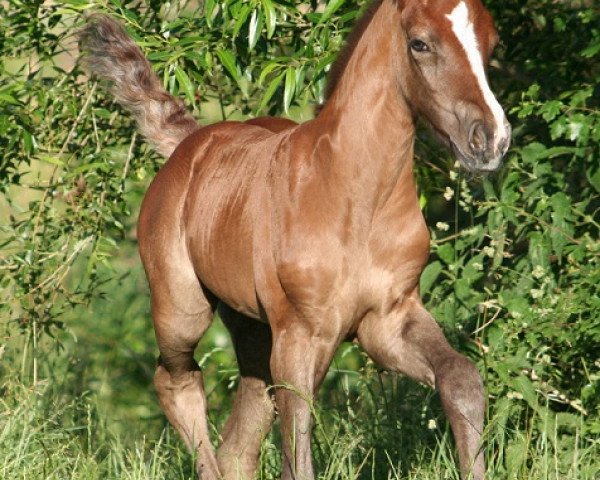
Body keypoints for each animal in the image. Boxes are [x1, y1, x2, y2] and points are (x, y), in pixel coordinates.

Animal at [79, 1, 510, 478]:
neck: (354, 198)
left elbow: (462, 380)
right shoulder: (300, 332)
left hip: (251, 326)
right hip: (182, 308)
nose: (489, 139)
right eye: (420, 43)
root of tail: (190, 143)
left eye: (492, 43)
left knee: (241, 435)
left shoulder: (388, 318)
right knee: (176, 381)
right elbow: (298, 456)